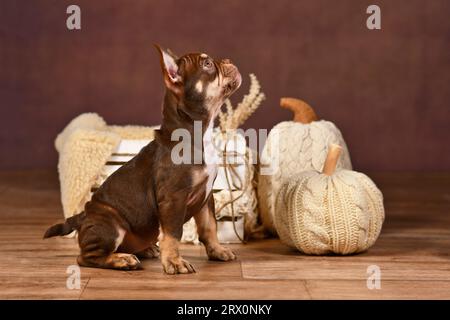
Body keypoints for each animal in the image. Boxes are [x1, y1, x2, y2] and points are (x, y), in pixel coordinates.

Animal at [44, 45, 243, 276]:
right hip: (111, 224)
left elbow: (209, 227)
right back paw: (122, 260)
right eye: (207, 64)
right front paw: (174, 262)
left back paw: (146, 250)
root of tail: (83, 216)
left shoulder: (206, 195)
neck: (196, 133)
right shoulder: (174, 199)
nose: (228, 60)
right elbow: (173, 234)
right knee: (86, 257)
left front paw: (217, 251)